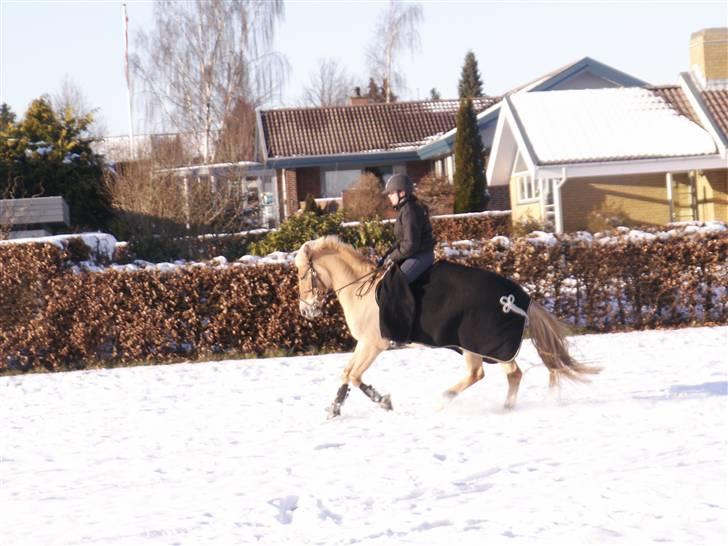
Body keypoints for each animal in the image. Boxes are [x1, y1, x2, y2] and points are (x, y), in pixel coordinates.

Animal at [292, 235, 600, 416]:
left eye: (301, 274)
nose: (306, 310)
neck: (362, 290)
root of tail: (523, 299)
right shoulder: (364, 345)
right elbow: (347, 373)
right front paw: (336, 407)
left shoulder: (373, 344)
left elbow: (354, 376)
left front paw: (381, 401)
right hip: (494, 349)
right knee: (513, 373)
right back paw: (506, 408)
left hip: (474, 345)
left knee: (478, 375)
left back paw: (443, 399)